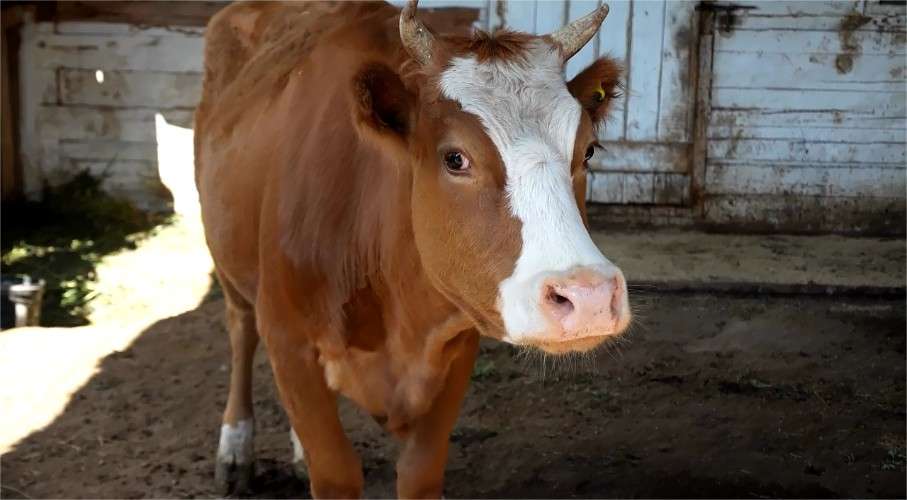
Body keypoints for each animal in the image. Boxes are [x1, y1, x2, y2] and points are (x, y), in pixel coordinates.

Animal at [195, 1, 630, 497]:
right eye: (455, 158)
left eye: (589, 150)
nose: (589, 296)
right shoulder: (288, 337)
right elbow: (336, 471)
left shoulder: (458, 342)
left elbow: (419, 471)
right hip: (226, 257)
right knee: (240, 329)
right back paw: (235, 448)